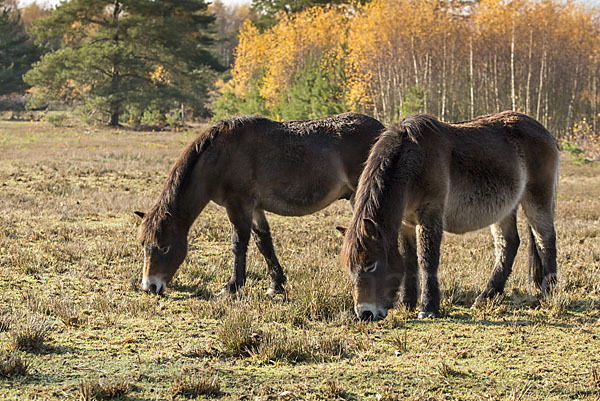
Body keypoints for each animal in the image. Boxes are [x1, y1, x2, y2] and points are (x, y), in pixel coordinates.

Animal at [135, 112, 384, 294]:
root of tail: (382, 130)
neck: (220, 156)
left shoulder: (238, 205)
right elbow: (263, 243)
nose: (150, 287)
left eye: (164, 247)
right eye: (144, 245)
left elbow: (238, 244)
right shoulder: (255, 208)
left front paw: (232, 287)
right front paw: (276, 285)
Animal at [340, 111, 560, 320]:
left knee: (545, 240)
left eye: (370, 264)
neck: (414, 159)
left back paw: (550, 292)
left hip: (537, 198)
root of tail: (545, 132)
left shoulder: (430, 215)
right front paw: (406, 303)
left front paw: (428, 307)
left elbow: (427, 259)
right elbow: (409, 261)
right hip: (505, 208)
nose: (365, 313)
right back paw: (486, 296)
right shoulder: (406, 223)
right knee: (508, 245)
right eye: (350, 267)